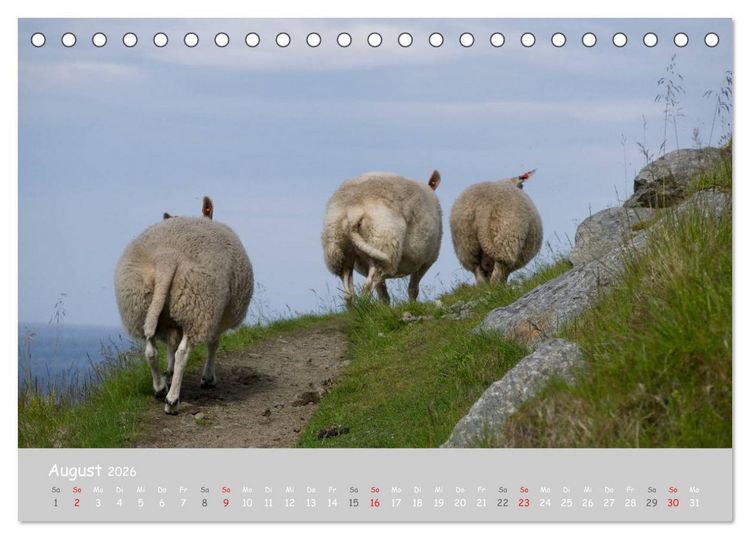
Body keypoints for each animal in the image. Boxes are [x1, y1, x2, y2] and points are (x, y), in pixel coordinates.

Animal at [115, 196, 253, 415]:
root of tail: (168, 256)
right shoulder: (217, 316)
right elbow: (213, 344)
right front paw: (208, 378)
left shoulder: (172, 321)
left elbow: (170, 346)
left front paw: (169, 373)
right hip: (198, 306)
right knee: (183, 352)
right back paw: (172, 400)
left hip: (142, 306)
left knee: (151, 350)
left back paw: (160, 387)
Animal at [322, 170, 443, 305]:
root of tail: (352, 212)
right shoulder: (426, 261)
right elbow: (413, 289)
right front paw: (412, 304)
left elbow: (384, 295)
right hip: (383, 243)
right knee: (367, 288)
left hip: (338, 251)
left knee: (348, 292)